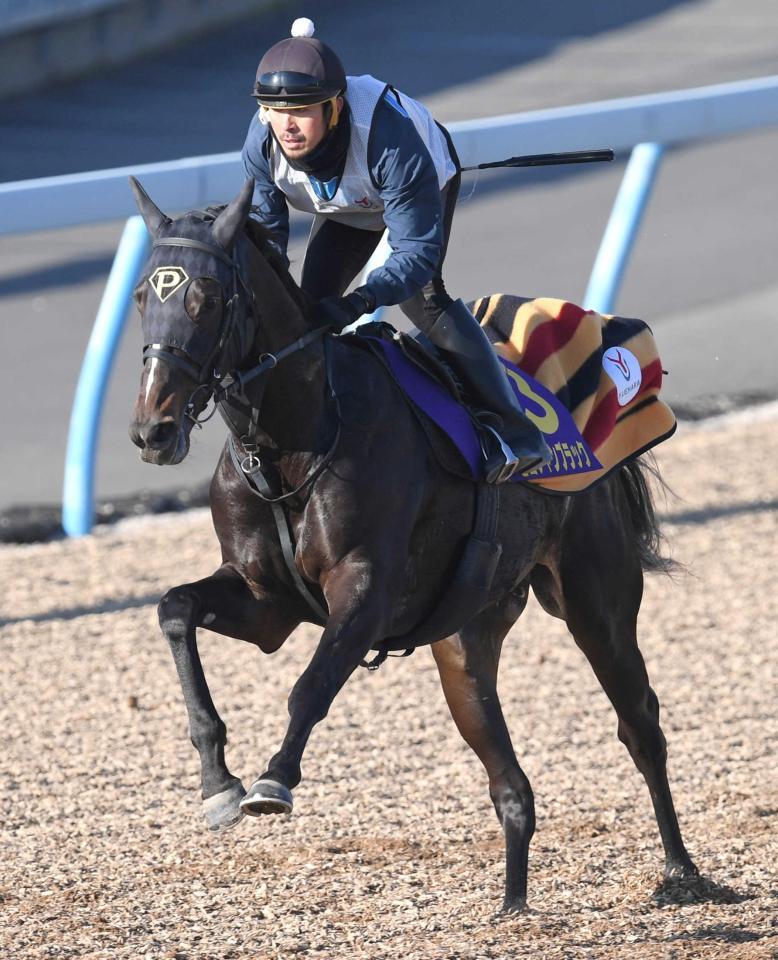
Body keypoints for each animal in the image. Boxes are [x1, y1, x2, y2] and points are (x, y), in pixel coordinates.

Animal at [127, 176, 696, 912]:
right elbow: (174, 608)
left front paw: (272, 781)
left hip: (597, 604)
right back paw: (513, 906)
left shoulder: (366, 591)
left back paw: (681, 869)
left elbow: (312, 684)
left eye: (208, 299)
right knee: (511, 784)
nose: (154, 429)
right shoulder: (265, 602)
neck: (297, 438)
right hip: (465, 640)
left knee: (640, 726)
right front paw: (217, 781)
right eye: (144, 297)